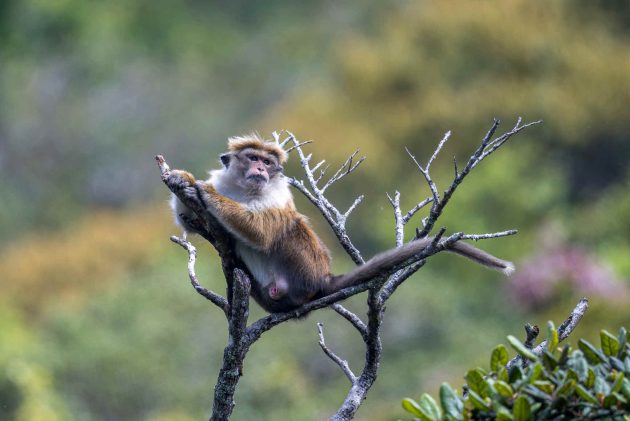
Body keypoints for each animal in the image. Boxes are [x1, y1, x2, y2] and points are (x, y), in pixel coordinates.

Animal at [169, 134, 515, 313]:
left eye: (267, 162)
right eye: (252, 158)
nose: (261, 169)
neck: (244, 190)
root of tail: (324, 278)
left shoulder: (277, 193)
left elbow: (262, 232)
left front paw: (203, 190)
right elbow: (192, 224)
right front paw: (184, 181)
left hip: (306, 270)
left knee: (290, 226)